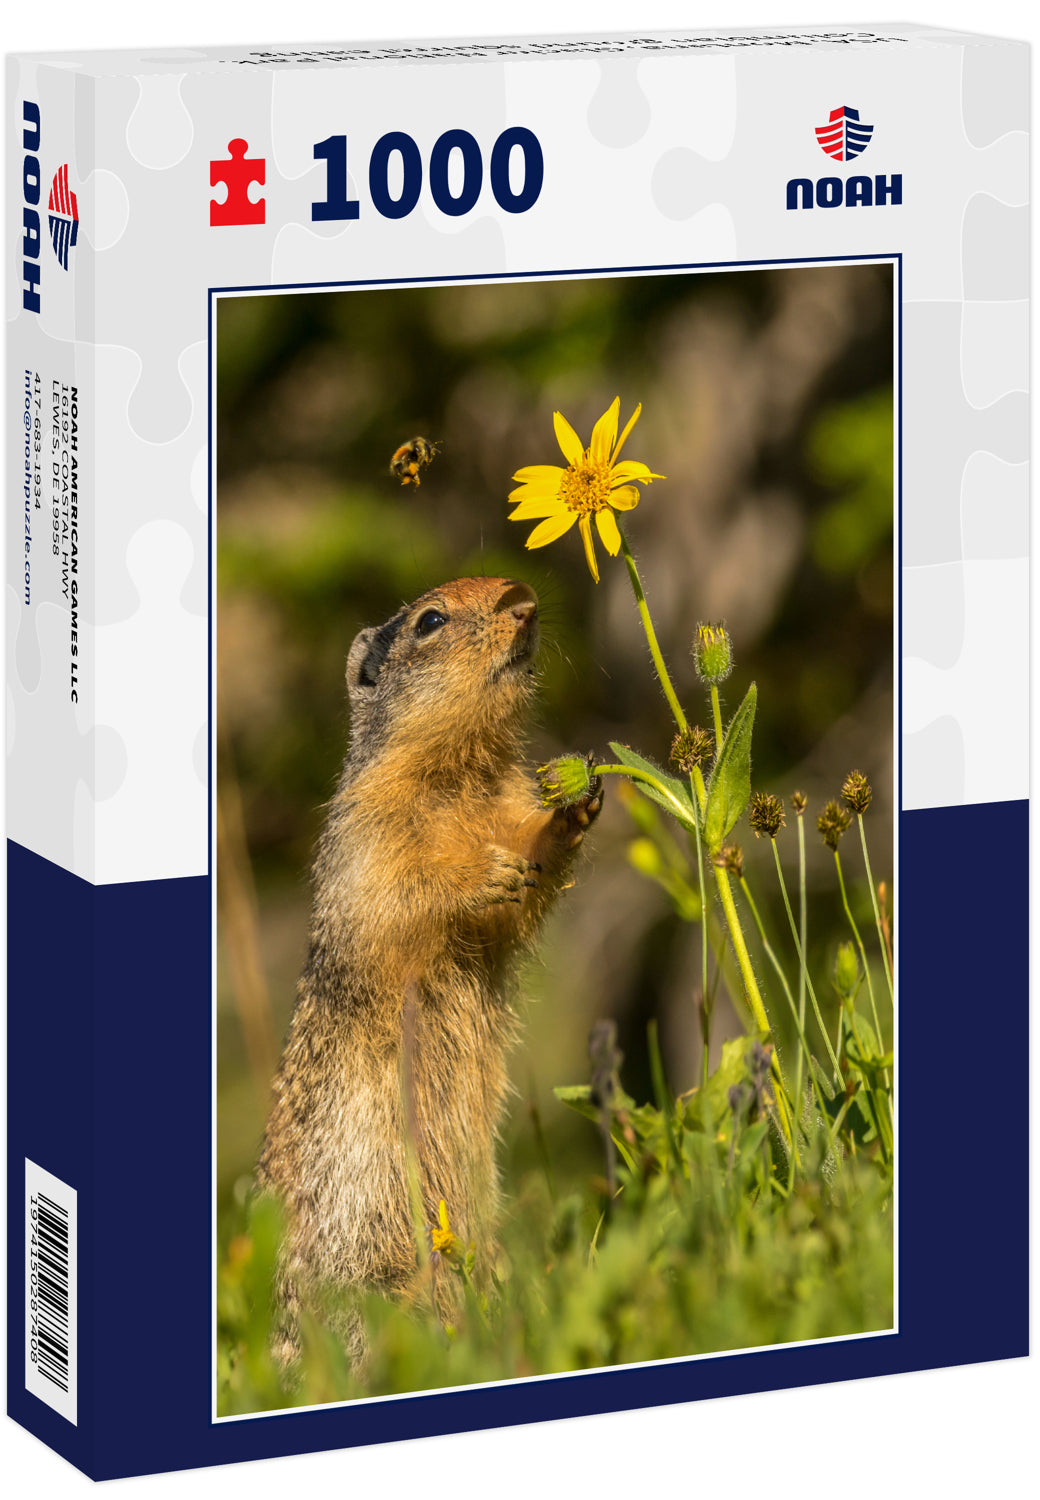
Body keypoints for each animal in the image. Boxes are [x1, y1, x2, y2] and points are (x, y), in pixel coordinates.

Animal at [256, 576, 602, 1365]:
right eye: (430, 620)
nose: (524, 600)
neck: (464, 769)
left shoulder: (506, 802)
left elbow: (524, 884)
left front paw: (575, 803)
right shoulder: (368, 831)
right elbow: (400, 896)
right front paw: (482, 877)